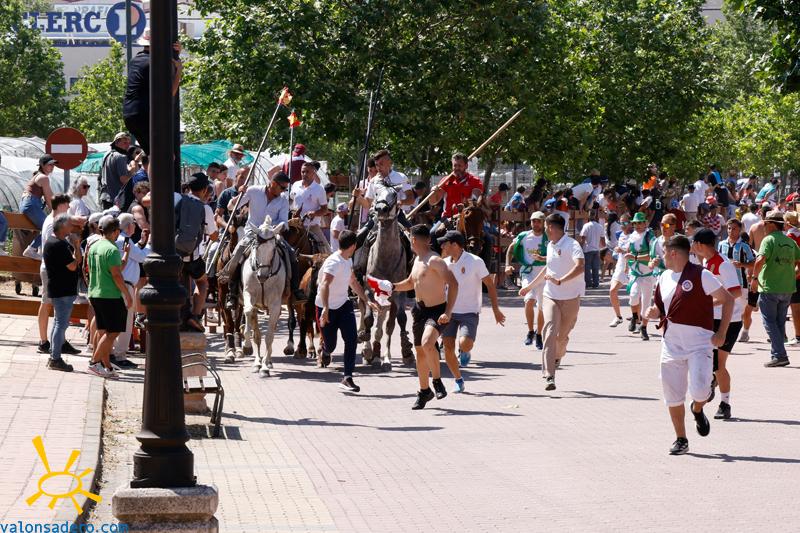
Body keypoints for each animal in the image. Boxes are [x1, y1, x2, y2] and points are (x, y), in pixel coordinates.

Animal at [241, 217, 286, 377]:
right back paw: (257, 362)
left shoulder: (275, 305)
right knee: (257, 334)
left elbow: (269, 336)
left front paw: (265, 366)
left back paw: (267, 361)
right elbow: (248, 312)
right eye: (256, 247)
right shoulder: (248, 295)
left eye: (273, 250)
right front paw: (246, 345)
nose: (262, 275)